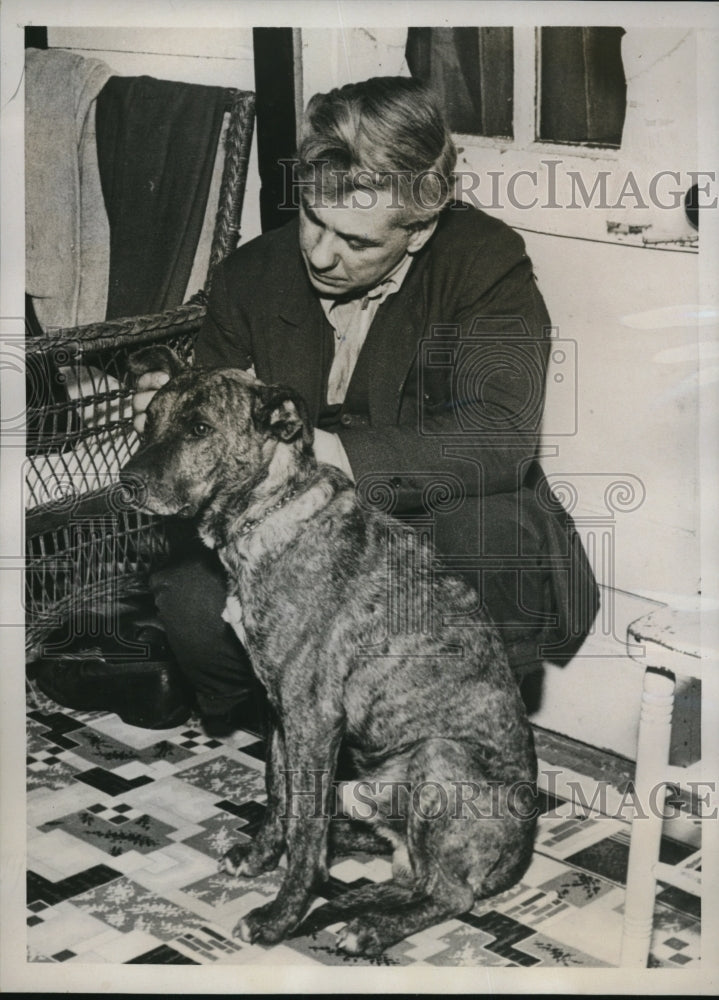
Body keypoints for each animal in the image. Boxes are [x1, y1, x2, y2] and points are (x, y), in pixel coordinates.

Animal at [124, 348, 536, 956]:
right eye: (148, 419)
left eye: (199, 428)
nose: (126, 482)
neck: (271, 514)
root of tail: (520, 850)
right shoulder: (280, 712)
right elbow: (279, 793)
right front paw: (262, 855)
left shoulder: (314, 719)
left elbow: (303, 828)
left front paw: (279, 917)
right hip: (369, 791)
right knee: (403, 871)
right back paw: (355, 893)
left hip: (439, 758)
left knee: (449, 894)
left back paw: (371, 926)